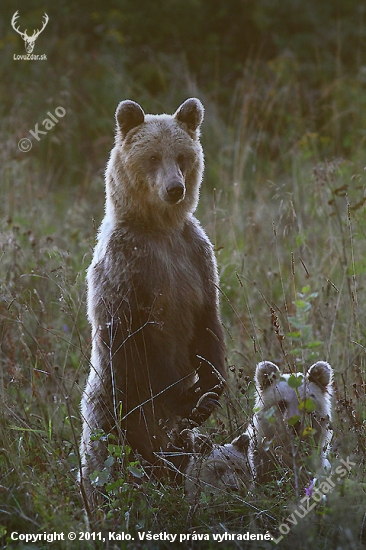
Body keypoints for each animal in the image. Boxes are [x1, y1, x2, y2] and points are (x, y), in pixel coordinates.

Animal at [80, 99, 226, 512]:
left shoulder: (195, 257)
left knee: (179, 453)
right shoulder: (127, 269)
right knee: (111, 460)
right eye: (152, 157)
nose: (175, 188)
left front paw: (209, 391)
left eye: (182, 156)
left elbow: (208, 323)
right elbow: (136, 335)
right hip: (113, 409)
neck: (160, 229)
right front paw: (188, 396)